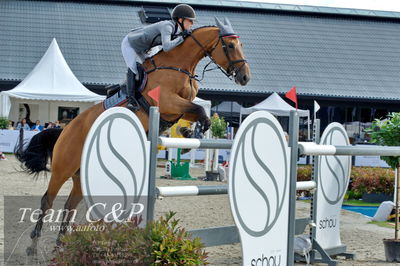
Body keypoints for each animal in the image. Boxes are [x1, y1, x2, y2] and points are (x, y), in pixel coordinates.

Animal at [18, 18, 252, 254]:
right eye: (230, 45)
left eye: (241, 45)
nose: (245, 77)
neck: (180, 65)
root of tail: (65, 129)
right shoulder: (167, 102)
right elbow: (200, 110)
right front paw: (190, 137)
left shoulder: (178, 108)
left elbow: (197, 112)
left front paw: (187, 135)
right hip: (63, 168)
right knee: (47, 200)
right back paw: (33, 246)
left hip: (81, 175)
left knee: (69, 206)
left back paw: (60, 247)